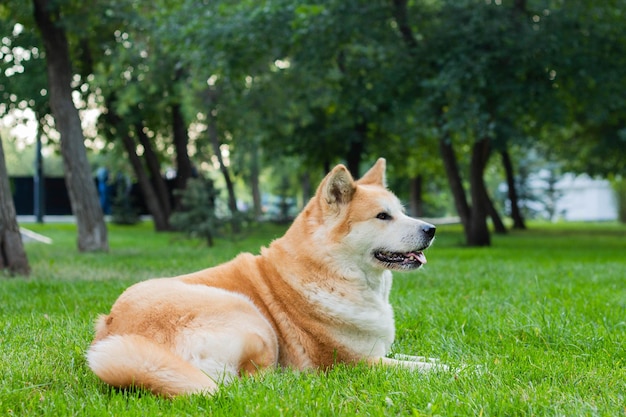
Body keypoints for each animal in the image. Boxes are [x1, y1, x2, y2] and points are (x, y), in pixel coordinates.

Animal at [86, 158, 438, 396]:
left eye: (402, 212)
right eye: (383, 216)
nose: (431, 229)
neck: (330, 271)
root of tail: (113, 331)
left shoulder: (378, 353)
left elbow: (424, 358)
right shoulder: (355, 363)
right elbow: (428, 368)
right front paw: (452, 371)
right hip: (251, 316)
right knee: (253, 383)